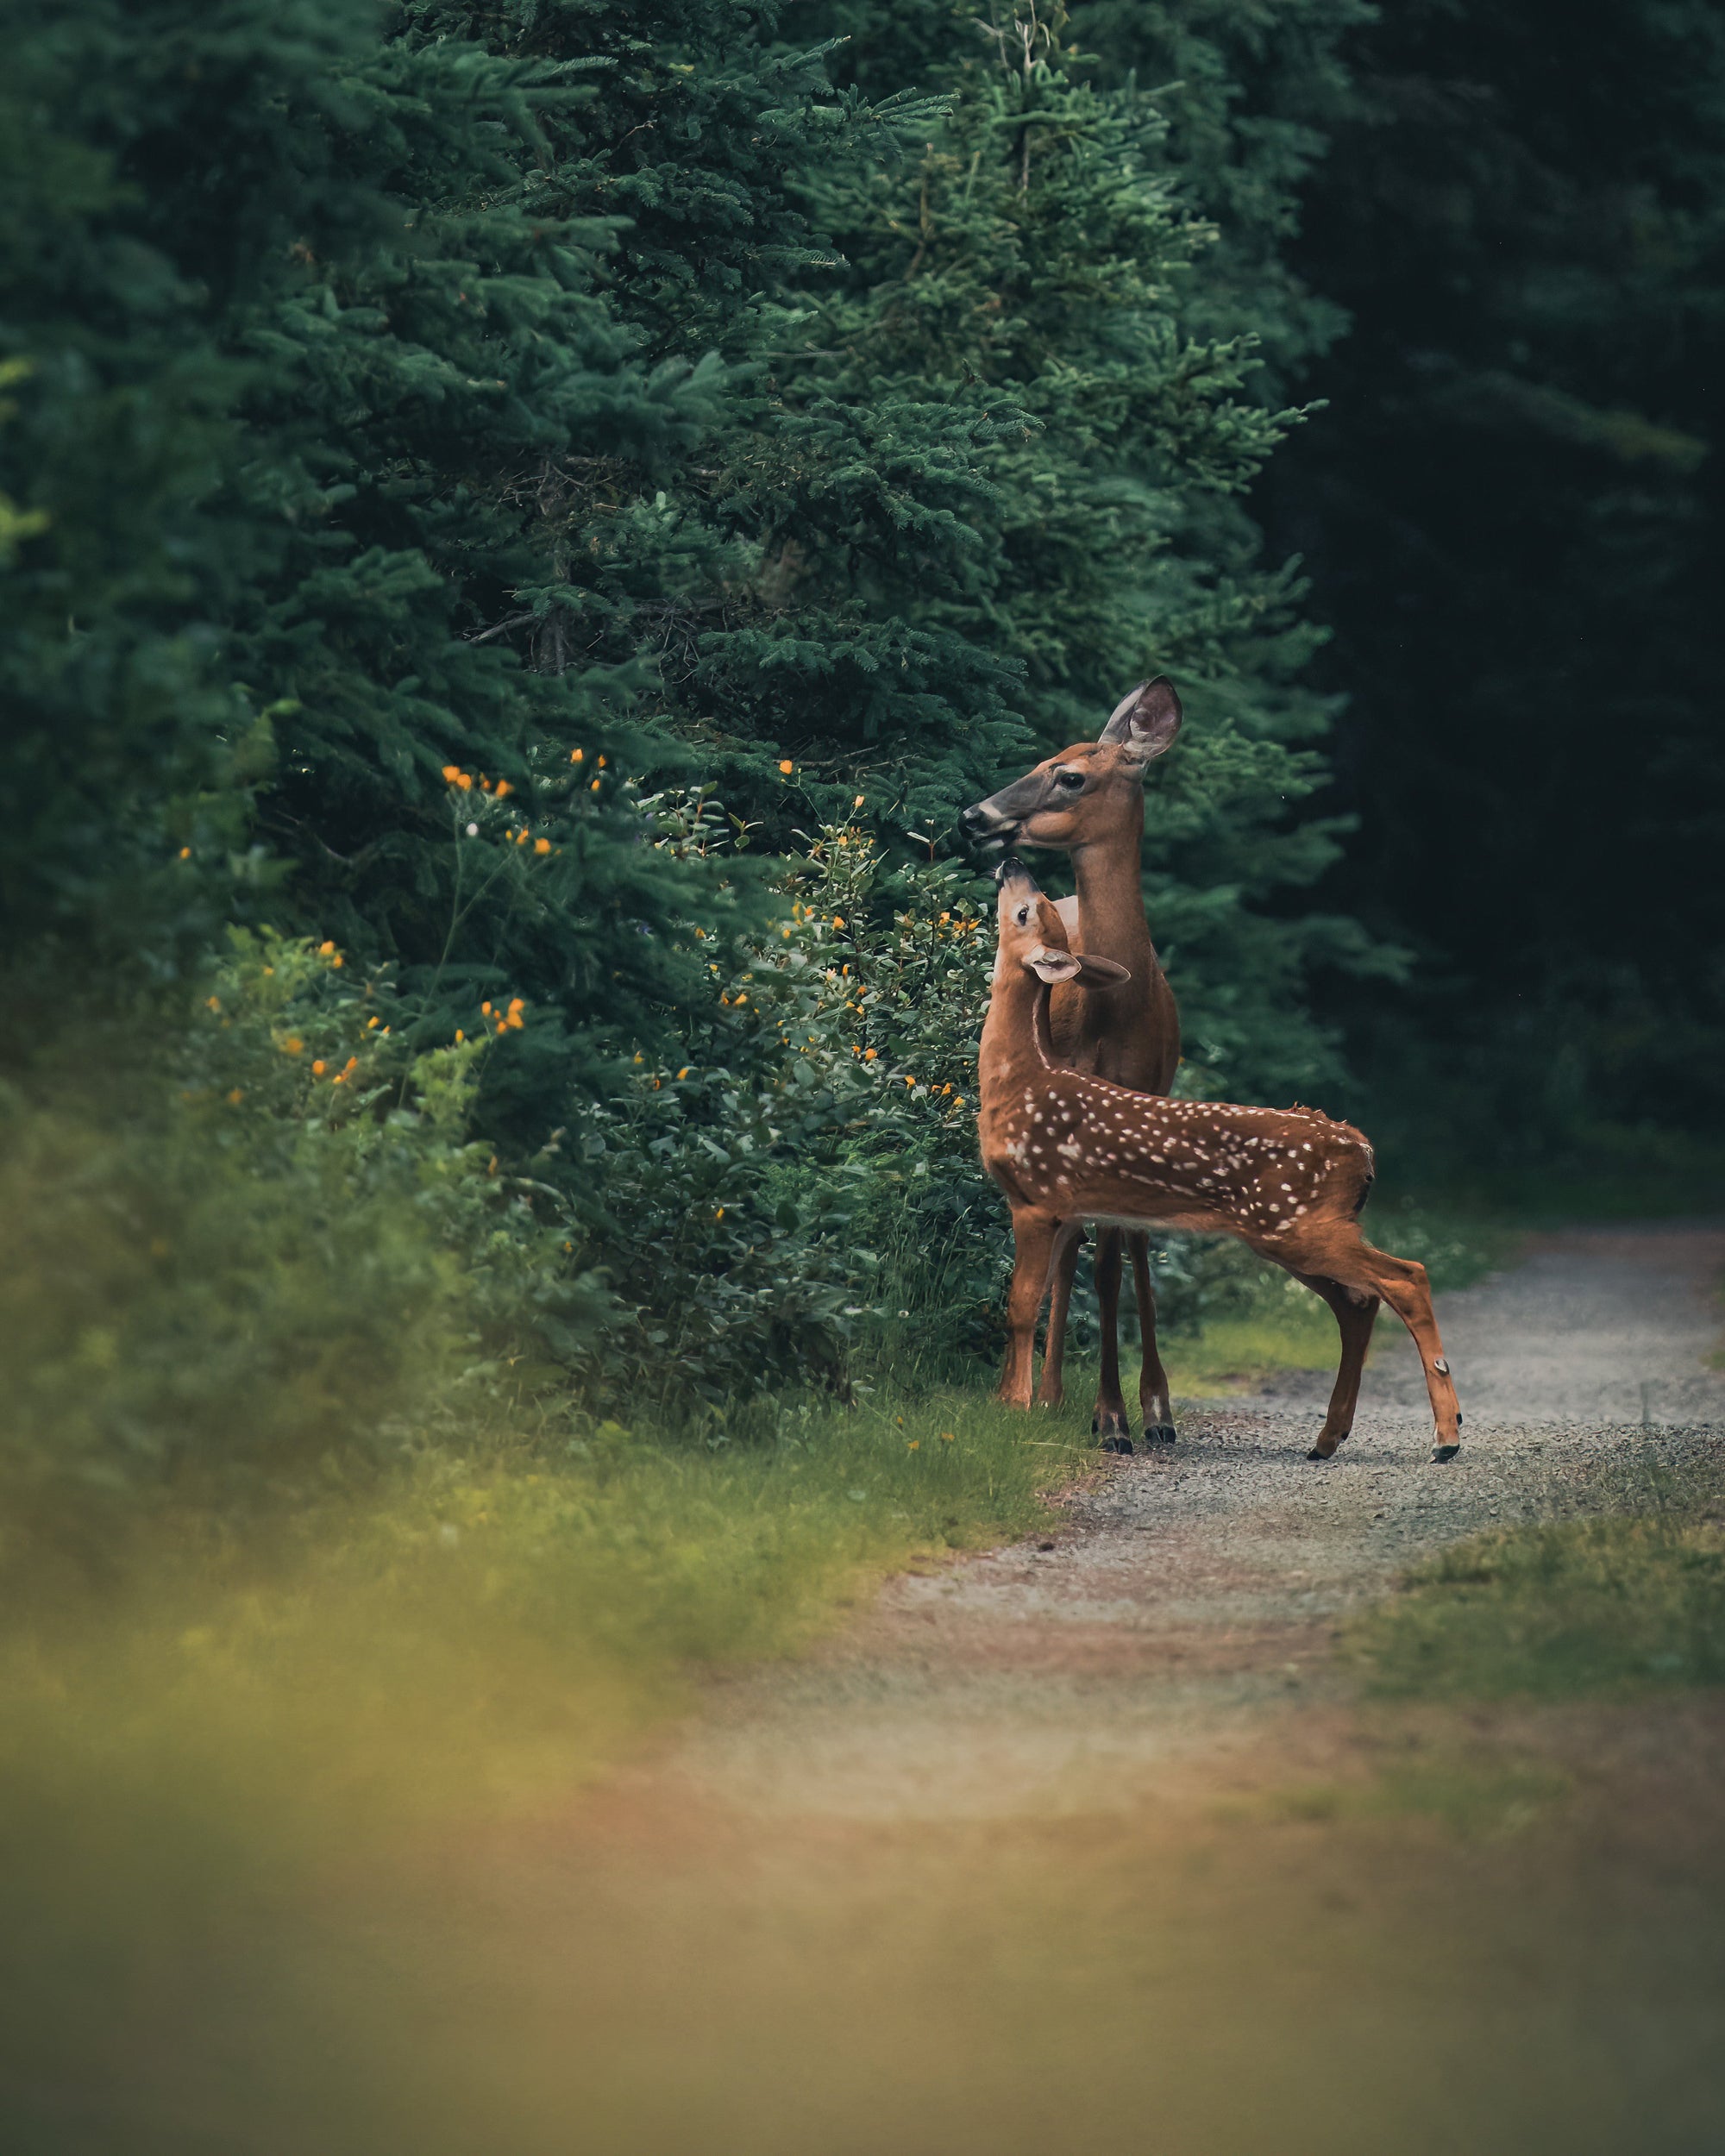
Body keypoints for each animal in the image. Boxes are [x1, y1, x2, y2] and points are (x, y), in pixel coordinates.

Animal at [957, 673, 1190, 1449]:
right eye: (1040, 757)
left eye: (1071, 776)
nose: (973, 816)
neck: (1116, 1016)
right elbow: (1086, 1257)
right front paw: (1101, 1412)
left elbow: (1118, 1260)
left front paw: (1130, 1411)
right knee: (1073, 1244)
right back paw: (1058, 1392)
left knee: (1129, 1244)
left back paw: (1155, 1408)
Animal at [979, 858, 1466, 1466]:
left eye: (1028, 910)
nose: (1012, 863)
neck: (1019, 1078)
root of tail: (1364, 1149)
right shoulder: (1067, 1212)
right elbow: (1041, 1300)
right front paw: (1012, 1403)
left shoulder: (1036, 1198)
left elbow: (1020, 1306)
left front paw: (1015, 1413)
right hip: (1290, 1228)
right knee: (1358, 1301)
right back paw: (1328, 1439)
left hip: (1298, 1224)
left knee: (1406, 1277)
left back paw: (1446, 1436)